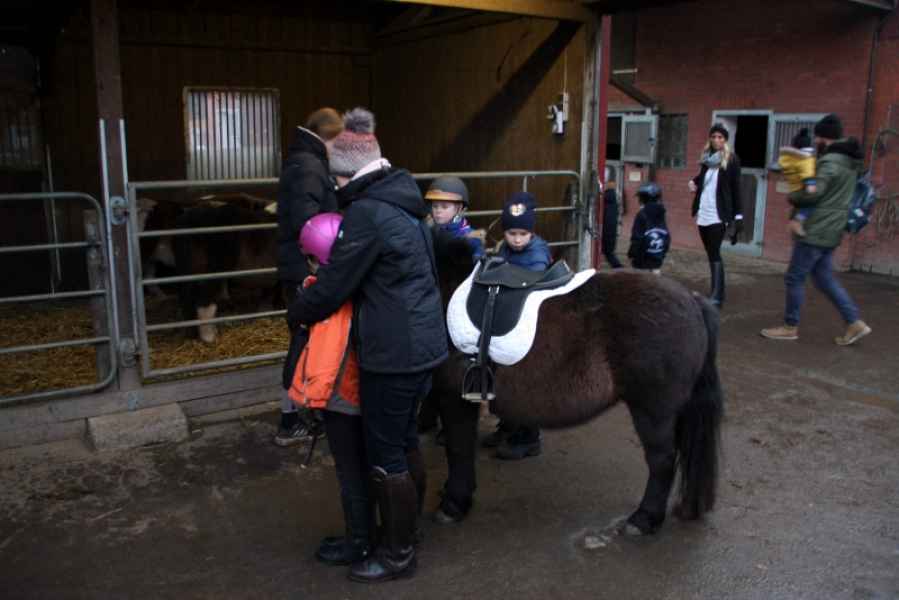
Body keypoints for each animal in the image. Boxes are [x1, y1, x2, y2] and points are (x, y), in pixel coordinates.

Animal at [432, 236, 724, 535]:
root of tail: (693, 300)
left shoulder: (453, 395)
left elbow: (457, 448)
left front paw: (454, 502)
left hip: (653, 411)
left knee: (662, 460)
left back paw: (643, 519)